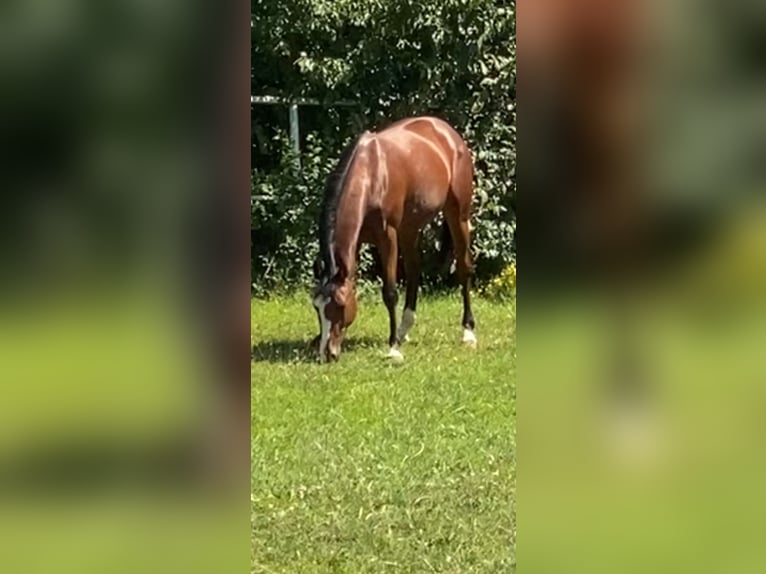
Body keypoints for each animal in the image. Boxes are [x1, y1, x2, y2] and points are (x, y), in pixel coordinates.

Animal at [308, 115, 476, 362]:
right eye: (316, 307)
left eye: (339, 304)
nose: (327, 354)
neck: (371, 175)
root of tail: (448, 132)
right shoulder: (357, 241)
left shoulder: (387, 236)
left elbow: (389, 291)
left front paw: (393, 347)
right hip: (410, 227)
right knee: (414, 270)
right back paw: (404, 329)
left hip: (458, 215)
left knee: (464, 268)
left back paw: (468, 332)